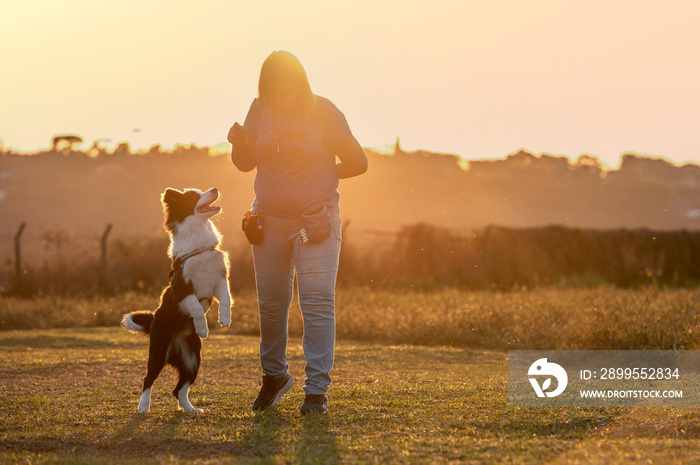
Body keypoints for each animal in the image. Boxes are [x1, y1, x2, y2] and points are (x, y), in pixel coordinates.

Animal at [122, 187, 232, 412]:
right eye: (194, 196)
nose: (215, 189)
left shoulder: (218, 280)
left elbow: (226, 298)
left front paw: (225, 318)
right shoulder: (182, 289)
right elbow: (196, 308)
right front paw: (203, 328)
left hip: (193, 359)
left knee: (179, 388)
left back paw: (190, 409)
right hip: (158, 353)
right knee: (148, 379)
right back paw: (143, 406)